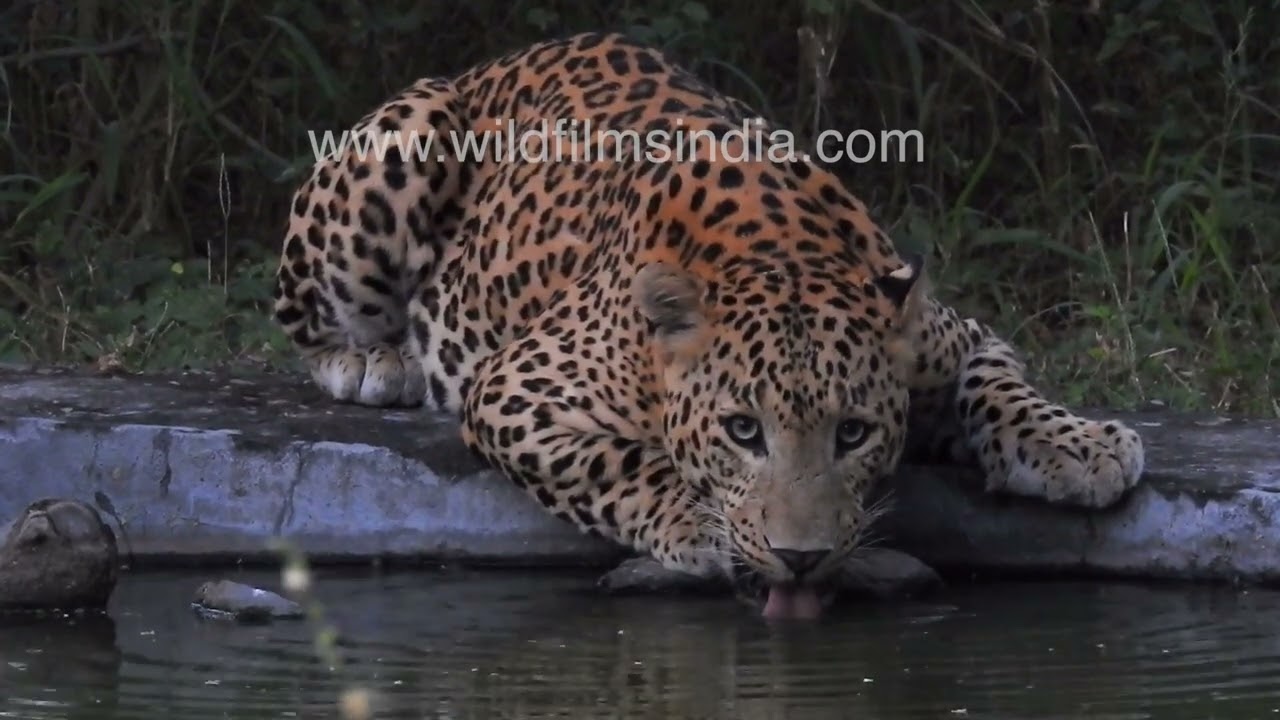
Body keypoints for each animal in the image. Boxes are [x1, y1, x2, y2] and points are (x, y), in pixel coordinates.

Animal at [271, 32, 1144, 619]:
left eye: (854, 433)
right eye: (742, 430)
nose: (801, 560)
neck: (782, 249)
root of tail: (492, 64)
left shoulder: (952, 334)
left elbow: (998, 386)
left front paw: (1078, 446)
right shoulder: (516, 387)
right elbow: (616, 462)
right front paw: (699, 523)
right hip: (405, 137)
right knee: (303, 319)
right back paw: (375, 361)